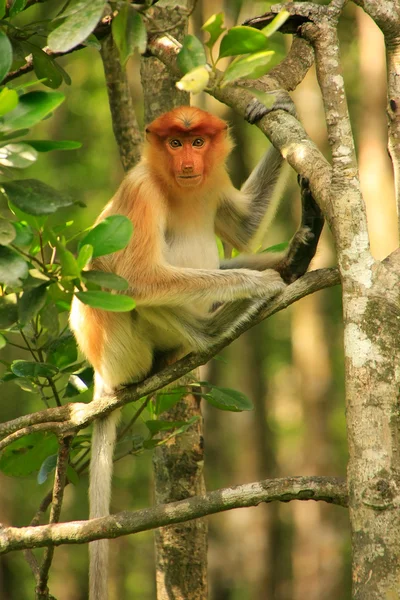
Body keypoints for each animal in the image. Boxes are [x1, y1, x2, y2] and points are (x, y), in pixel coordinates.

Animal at [70, 99, 324, 600]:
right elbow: (137, 278)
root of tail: (102, 375)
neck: (177, 188)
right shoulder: (140, 190)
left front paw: (275, 102)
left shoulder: (212, 182)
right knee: (131, 285)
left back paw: (298, 253)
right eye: (174, 142)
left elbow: (243, 228)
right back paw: (222, 320)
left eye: (198, 142)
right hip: (123, 347)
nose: (188, 162)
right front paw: (259, 283)